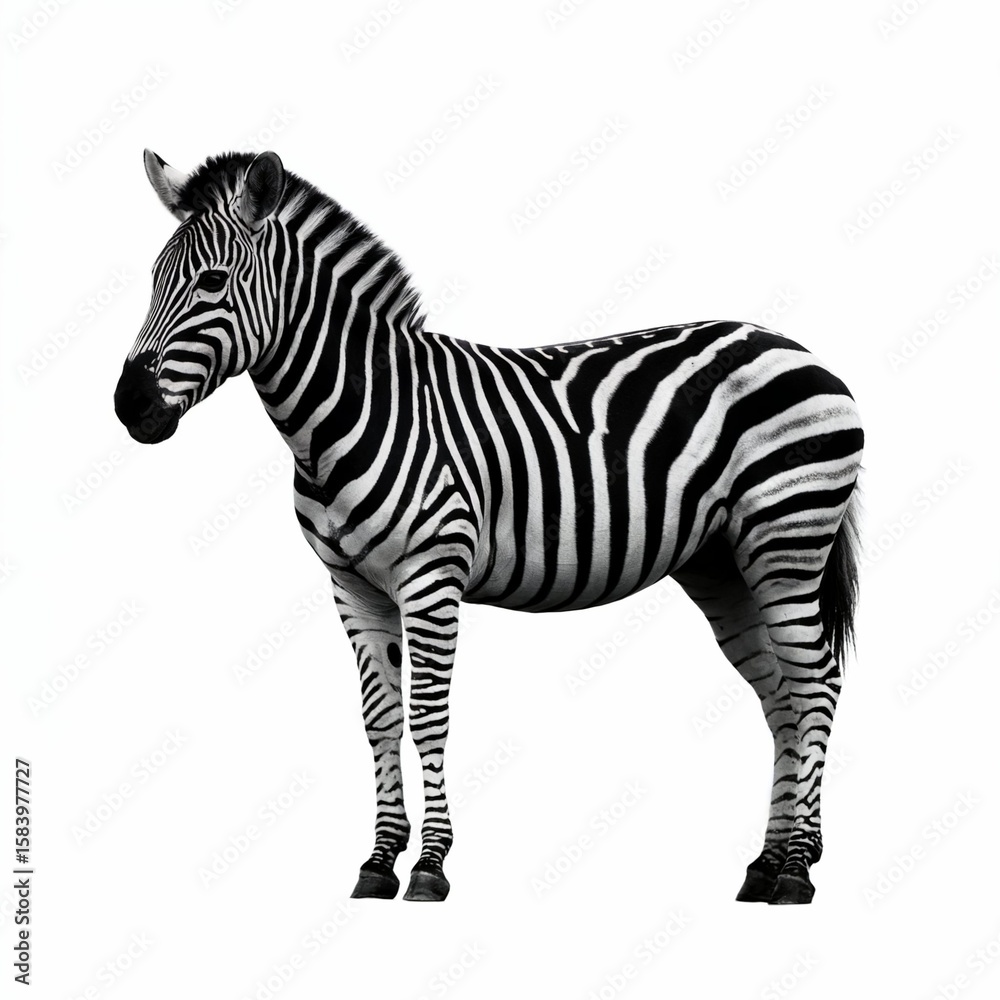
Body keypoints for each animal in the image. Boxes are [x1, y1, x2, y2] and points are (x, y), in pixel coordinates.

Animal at [115, 149, 864, 905]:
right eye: (152, 280)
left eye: (212, 282)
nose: (128, 406)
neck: (360, 407)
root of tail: (792, 346)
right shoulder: (351, 586)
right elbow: (380, 719)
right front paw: (378, 861)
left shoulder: (431, 576)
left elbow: (427, 716)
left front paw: (430, 864)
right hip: (723, 564)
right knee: (780, 697)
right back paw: (765, 863)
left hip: (787, 540)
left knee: (816, 685)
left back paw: (797, 870)